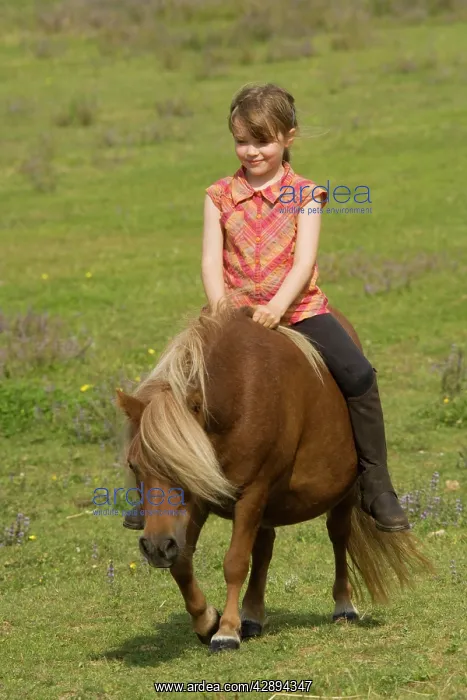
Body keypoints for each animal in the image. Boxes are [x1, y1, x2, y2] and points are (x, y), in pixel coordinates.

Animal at [116, 303, 431, 654]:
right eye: (134, 466)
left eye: (184, 466)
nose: (156, 547)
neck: (238, 395)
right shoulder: (201, 502)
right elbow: (183, 561)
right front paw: (207, 620)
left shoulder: (251, 491)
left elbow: (235, 561)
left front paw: (226, 631)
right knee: (264, 549)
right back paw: (252, 615)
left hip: (341, 495)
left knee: (338, 537)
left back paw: (343, 606)